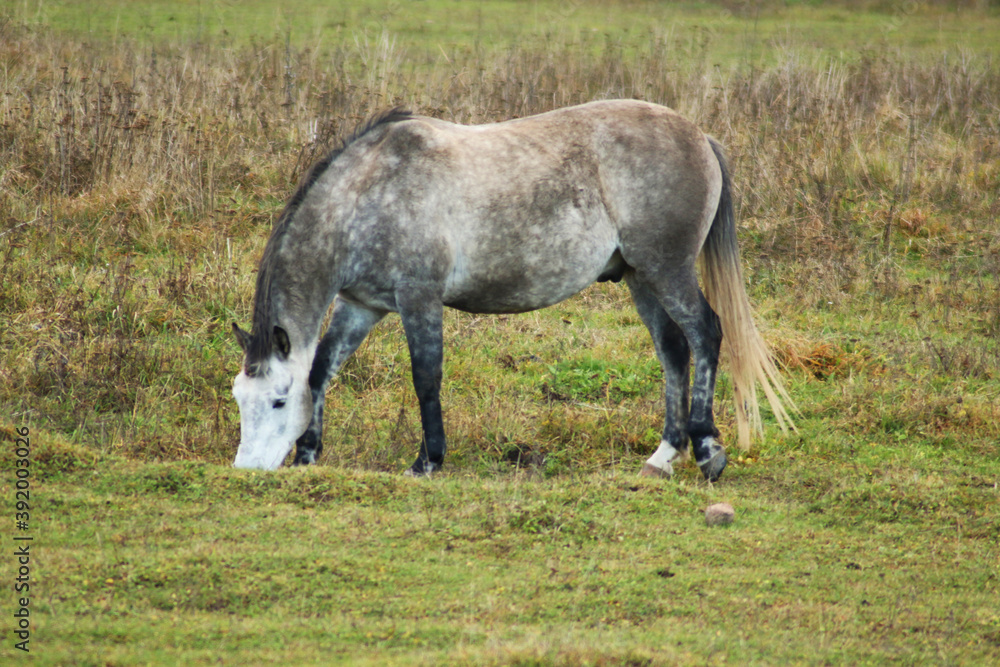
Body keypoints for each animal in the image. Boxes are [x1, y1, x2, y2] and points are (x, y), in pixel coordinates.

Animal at [231, 99, 794, 479]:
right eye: (240, 399)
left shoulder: (418, 299)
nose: (248, 470)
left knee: (706, 334)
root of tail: (699, 136)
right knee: (674, 351)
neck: (369, 192)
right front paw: (309, 454)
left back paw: (707, 450)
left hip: (667, 270)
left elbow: (425, 378)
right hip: (641, 278)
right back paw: (664, 455)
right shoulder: (362, 306)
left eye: (277, 402)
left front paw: (427, 461)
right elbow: (322, 369)